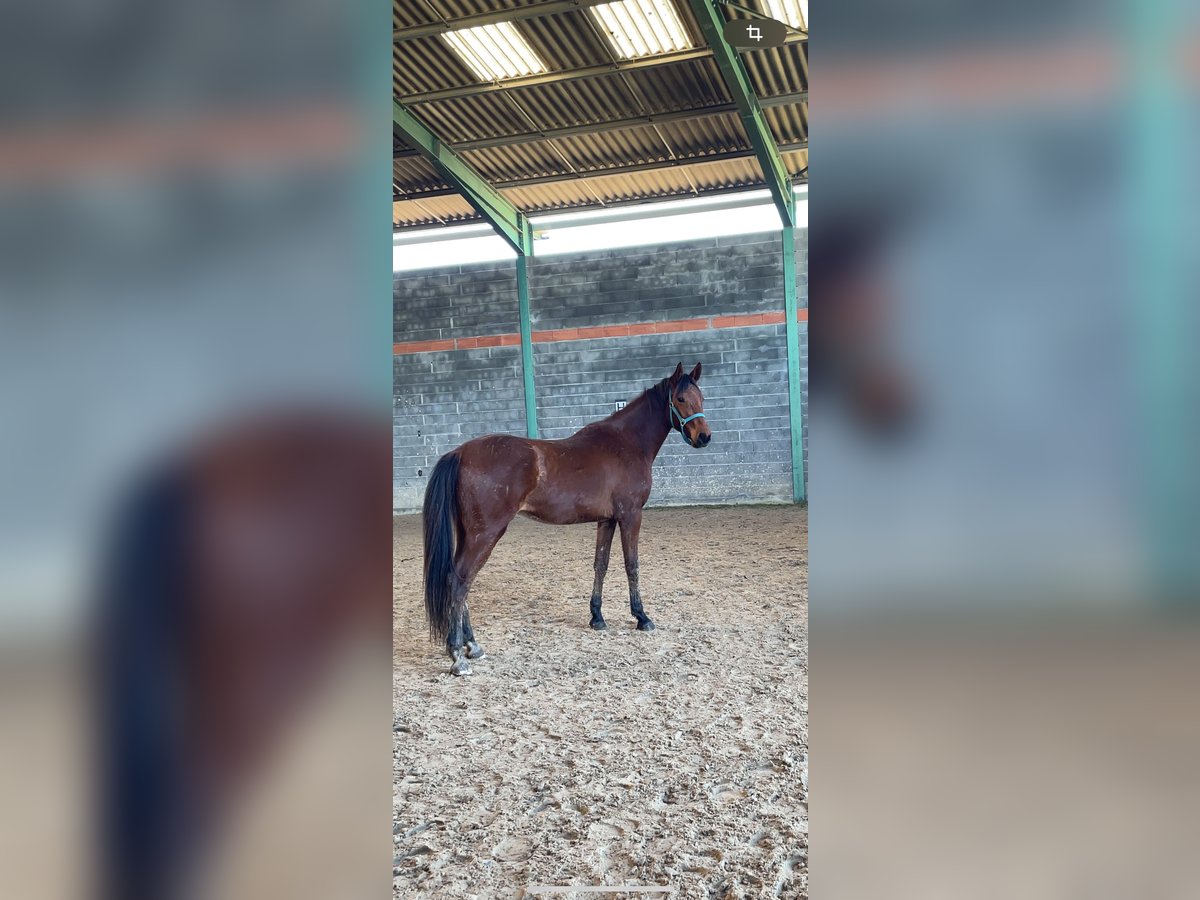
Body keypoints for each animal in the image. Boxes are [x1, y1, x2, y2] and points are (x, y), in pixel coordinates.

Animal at [424, 362, 710, 672]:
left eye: (701, 397)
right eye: (680, 399)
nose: (704, 437)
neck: (626, 443)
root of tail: (460, 452)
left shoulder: (607, 520)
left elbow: (600, 565)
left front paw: (597, 617)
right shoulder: (631, 515)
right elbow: (631, 565)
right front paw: (642, 618)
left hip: (469, 534)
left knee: (459, 579)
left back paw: (471, 646)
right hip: (485, 534)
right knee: (459, 581)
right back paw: (457, 654)